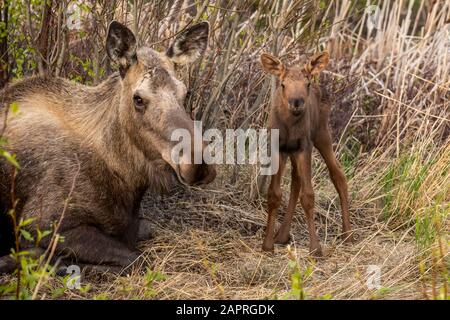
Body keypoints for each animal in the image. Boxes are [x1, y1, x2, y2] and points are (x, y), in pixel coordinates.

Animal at [0, 21, 216, 274]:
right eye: (138, 98)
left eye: (186, 93)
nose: (198, 164)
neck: (127, 178)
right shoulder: (42, 224)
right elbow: (137, 260)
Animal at [260, 52, 352, 258]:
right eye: (283, 84)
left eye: (307, 83)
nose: (297, 102)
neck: (290, 127)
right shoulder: (278, 147)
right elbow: (274, 194)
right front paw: (267, 245)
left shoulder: (305, 146)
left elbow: (309, 196)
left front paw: (316, 248)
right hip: (294, 151)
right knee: (296, 179)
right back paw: (282, 235)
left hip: (321, 133)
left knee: (338, 174)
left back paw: (348, 232)